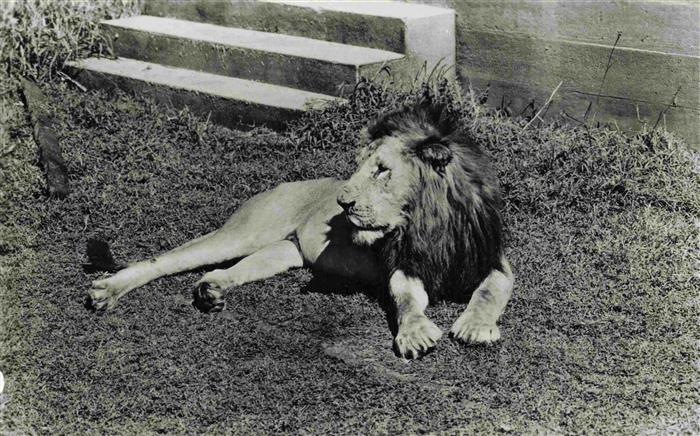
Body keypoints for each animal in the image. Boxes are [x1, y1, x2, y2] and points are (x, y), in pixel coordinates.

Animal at [88, 97, 513, 359]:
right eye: (363, 167)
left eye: (382, 170)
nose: (342, 203)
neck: (431, 223)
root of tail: (283, 184)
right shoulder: (401, 267)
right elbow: (407, 301)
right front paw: (415, 333)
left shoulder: (494, 262)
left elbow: (489, 292)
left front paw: (475, 327)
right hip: (241, 233)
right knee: (165, 260)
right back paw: (106, 291)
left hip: (282, 253)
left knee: (230, 270)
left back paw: (211, 291)